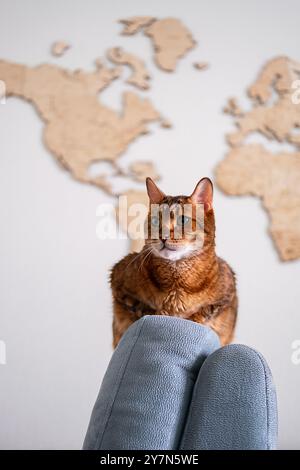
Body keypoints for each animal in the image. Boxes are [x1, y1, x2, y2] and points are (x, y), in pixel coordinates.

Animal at [110, 178, 237, 346]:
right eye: (155, 220)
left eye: (183, 220)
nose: (163, 236)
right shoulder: (118, 279)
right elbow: (141, 307)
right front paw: (160, 313)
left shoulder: (228, 291)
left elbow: (205, 312)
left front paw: (192, 318)